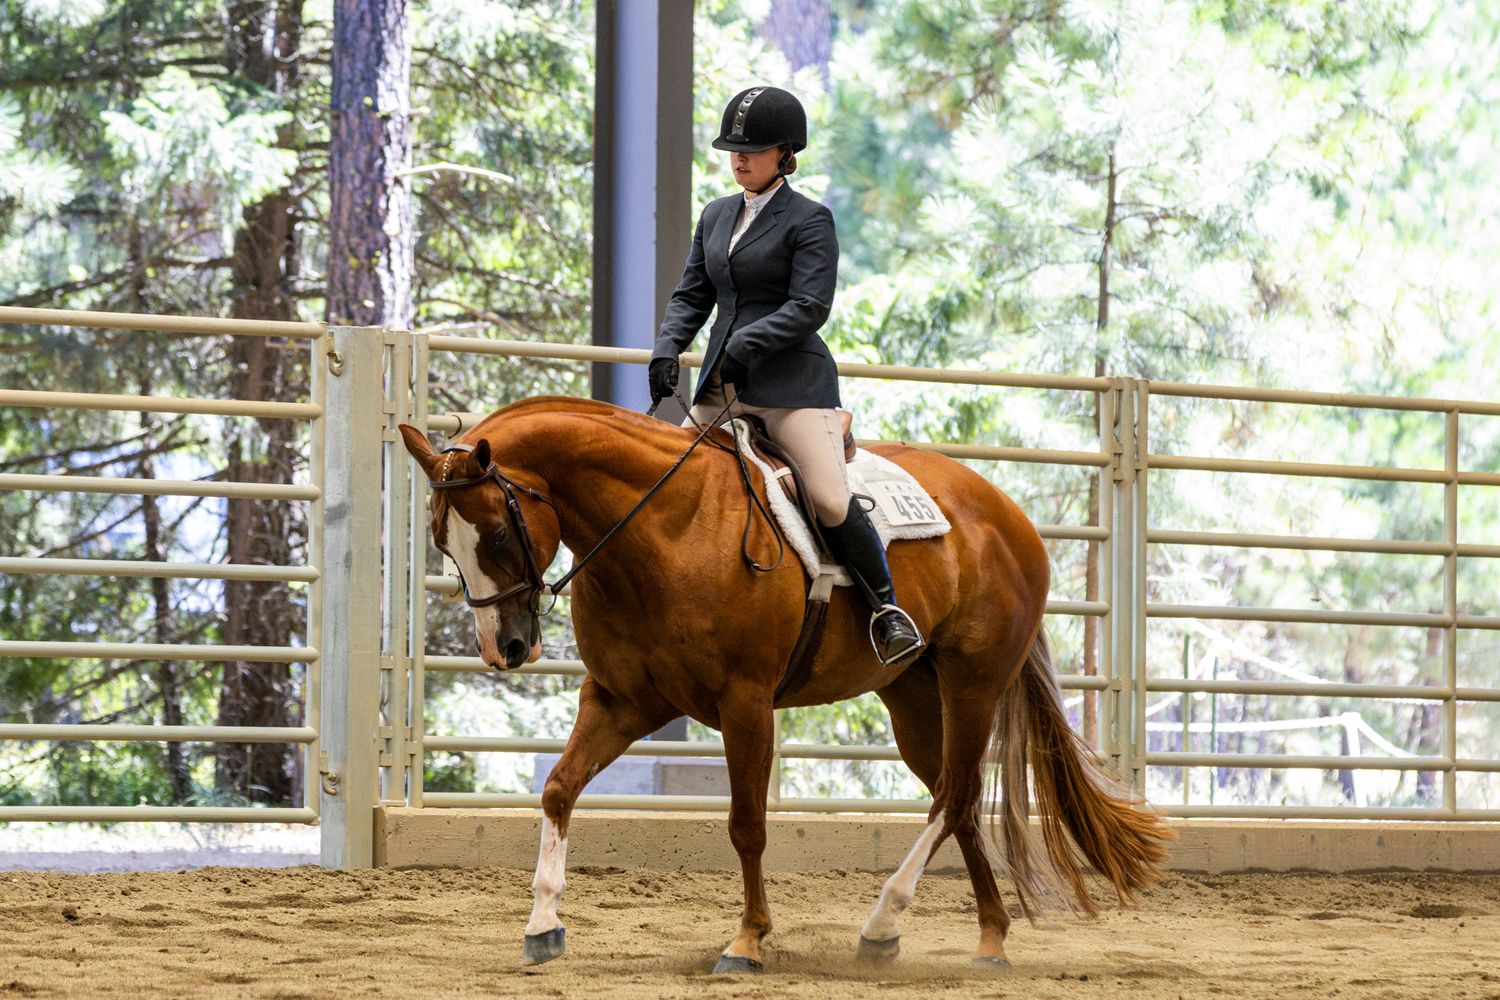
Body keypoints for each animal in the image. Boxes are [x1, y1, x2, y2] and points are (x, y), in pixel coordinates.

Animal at [397, 395, 1173, 974]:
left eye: (498, 534)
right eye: (440, 541)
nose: (504, 649)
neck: (665, 526)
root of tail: (1007, 512)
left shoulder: (745, 703)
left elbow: (746, 825)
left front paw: (746, 942)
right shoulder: (623, 699)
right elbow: (559, 789)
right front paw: (541, 924)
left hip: (973, 683)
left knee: (954, 798)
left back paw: (882, 922)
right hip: (912, 698)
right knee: (953, 800)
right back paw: (985, 938)